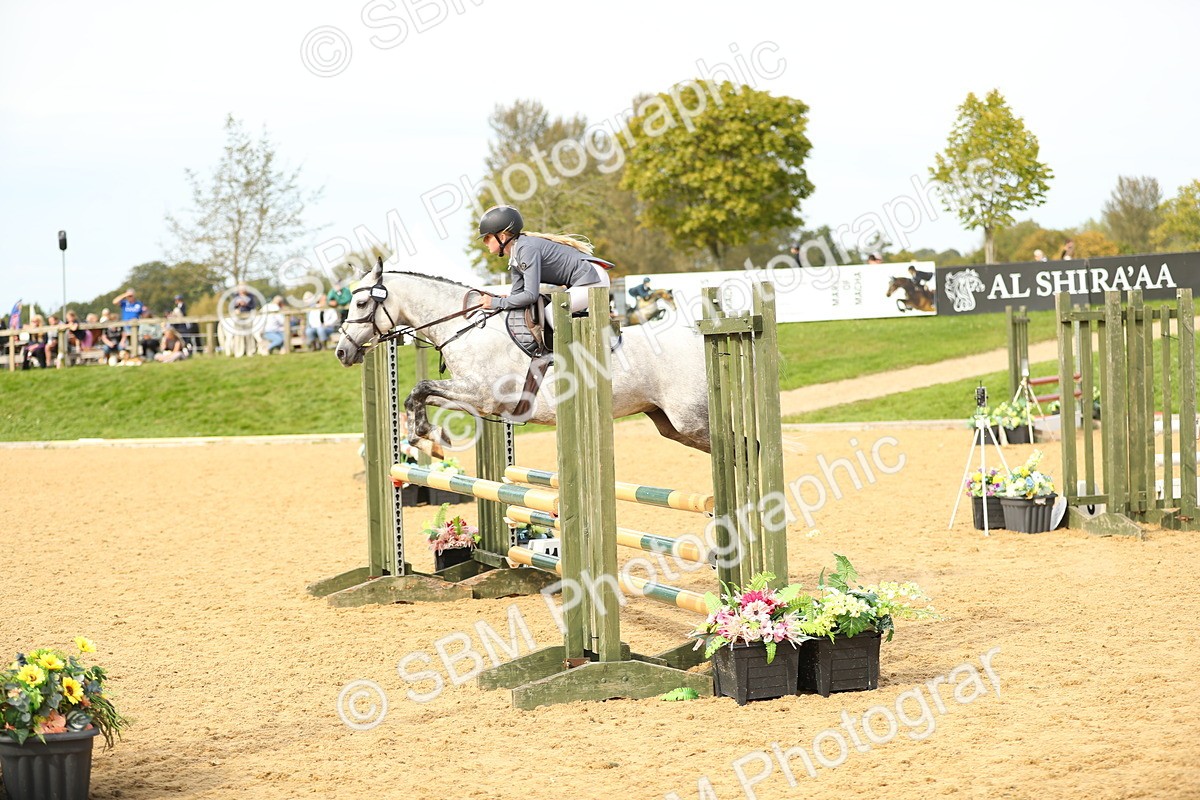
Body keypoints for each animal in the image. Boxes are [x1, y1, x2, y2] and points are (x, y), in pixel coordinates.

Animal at [334, 262, 712, 453]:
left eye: (362, 303)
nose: (341, 351)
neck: (464, 326)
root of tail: (698, 336)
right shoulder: (473, 398)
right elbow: (418, 394)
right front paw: (427, 434)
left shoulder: (481, 392)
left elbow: (421, 388)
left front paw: (426, 434)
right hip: (670, 424)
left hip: (690, 420)